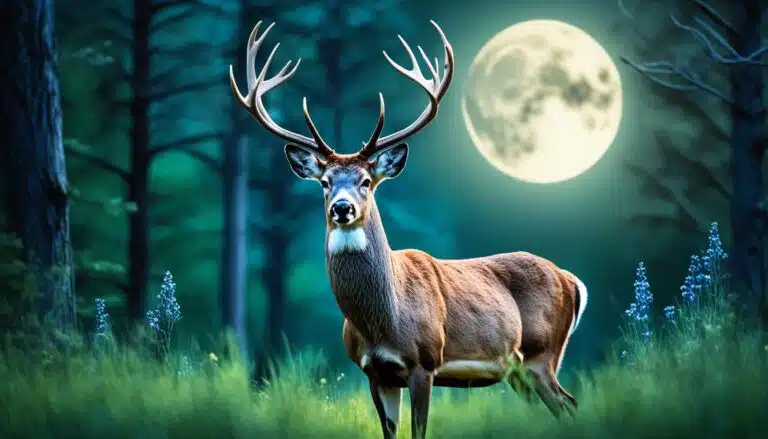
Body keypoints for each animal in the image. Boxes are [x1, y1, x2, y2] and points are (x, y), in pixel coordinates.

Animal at [229, 19, 588, 439]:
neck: (383, 320)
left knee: (569, 402)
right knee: (559, 408)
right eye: (325, 182)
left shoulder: (425, 361)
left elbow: (419, 430)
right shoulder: (374, 372)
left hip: (541, 354)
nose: (342, 208)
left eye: (367, 181)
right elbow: (389, 431)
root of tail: (569, 279)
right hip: (520, 369)